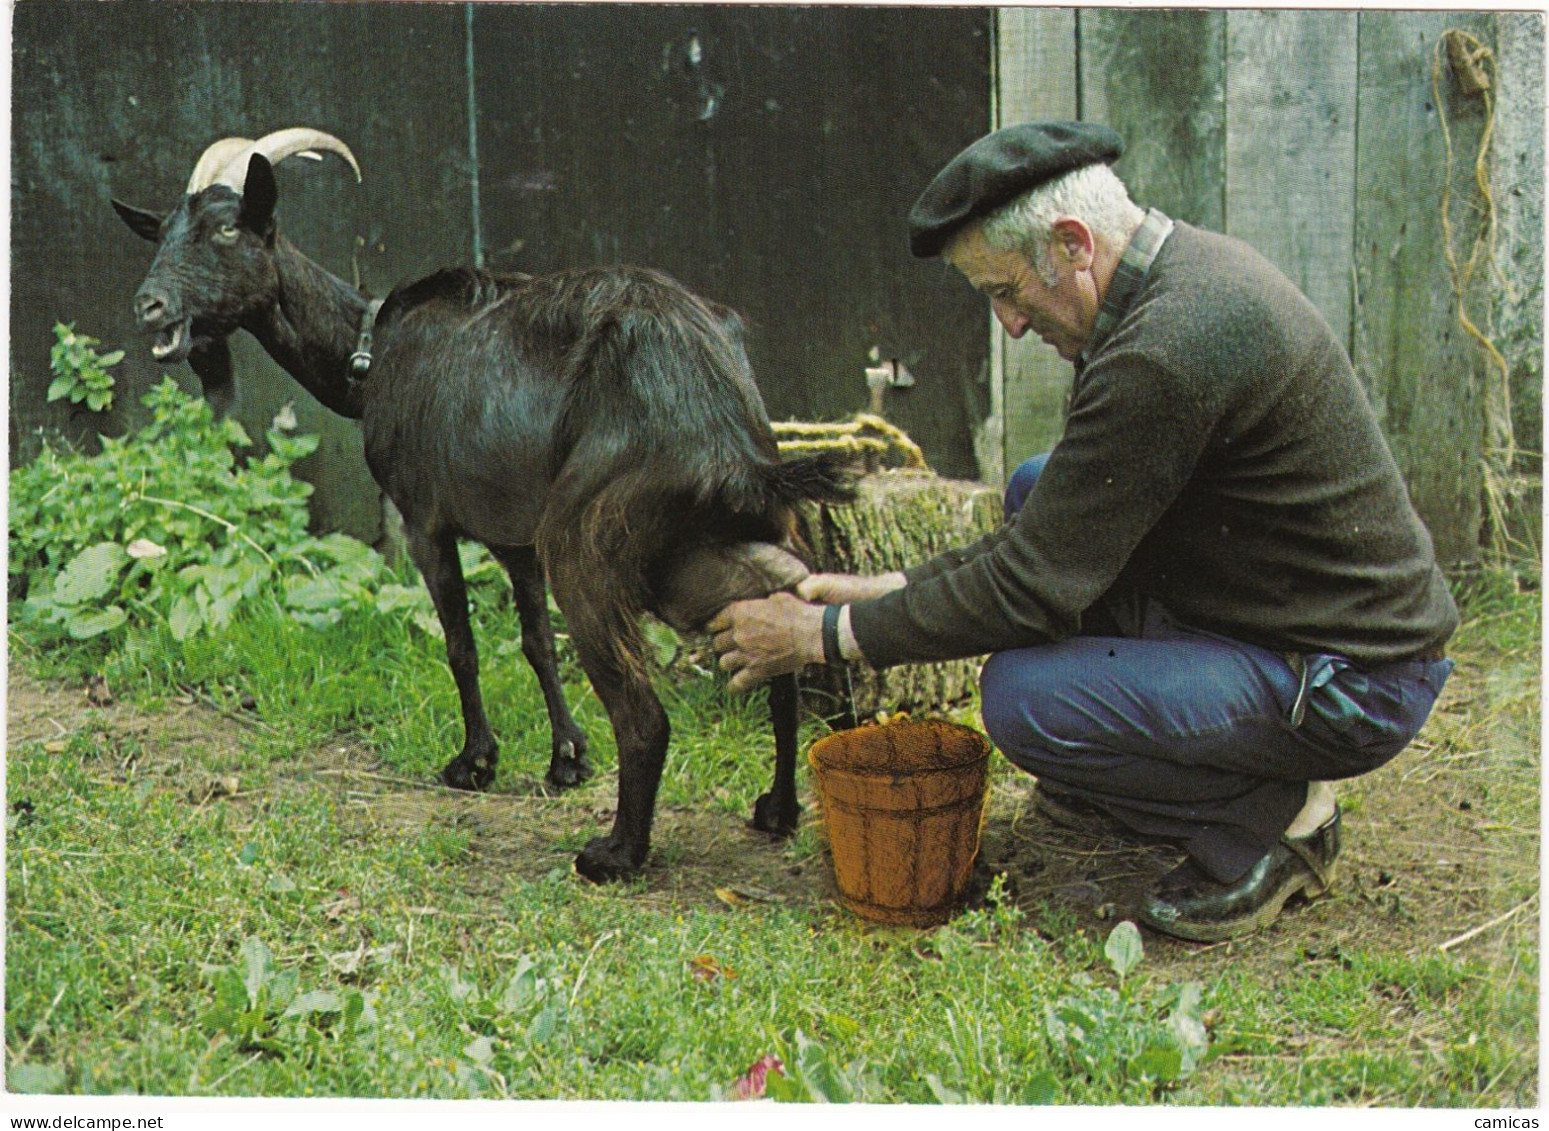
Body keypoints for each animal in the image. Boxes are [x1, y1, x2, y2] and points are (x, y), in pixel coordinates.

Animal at [113, 127, 855, 873]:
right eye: (162, 232)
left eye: (227, 227)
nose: (148, 305)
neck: (369, 355)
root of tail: (720, 418)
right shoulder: (512, 531)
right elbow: (535, 641)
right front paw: (566, 757)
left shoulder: (425, 520)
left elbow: (461, 644)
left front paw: (474, 762)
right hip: (739, 536)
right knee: (787, 657)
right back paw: (779, 808)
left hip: (588, 538)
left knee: (645, 714)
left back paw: (615, 853)